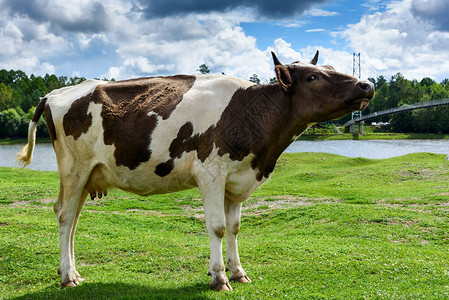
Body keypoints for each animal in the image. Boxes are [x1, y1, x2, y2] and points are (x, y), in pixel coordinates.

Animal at [16, 51, 374, 290]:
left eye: (329, 67)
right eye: (313, 77)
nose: (367, 85)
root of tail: (55, 92)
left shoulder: (236, 179)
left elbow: (235, 227)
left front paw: (238, 272)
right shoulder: (211, 172)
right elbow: (217, 227)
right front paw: (218, 277)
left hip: (88, 175)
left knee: (73, 220)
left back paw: (73, 272)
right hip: (73, 170)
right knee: (64, 216)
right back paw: (67, 276)